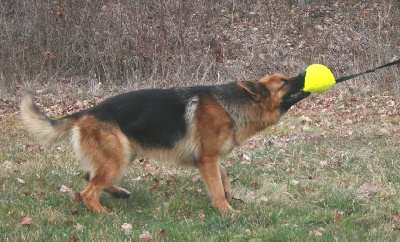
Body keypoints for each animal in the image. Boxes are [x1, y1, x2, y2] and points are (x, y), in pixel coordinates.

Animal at [20, 72, 310, 212]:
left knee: (88, 175)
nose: (305, 71)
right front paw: (226, 211)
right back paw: (103, 212)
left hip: (123, 155)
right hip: (118, 159)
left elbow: (224, 176)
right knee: (87, 191)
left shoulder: (210, 158)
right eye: (284, 82)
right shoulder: (207, 160)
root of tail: (85, 112)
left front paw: (230, 197)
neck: (234, 105)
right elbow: (217, 187)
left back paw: (118, 192)